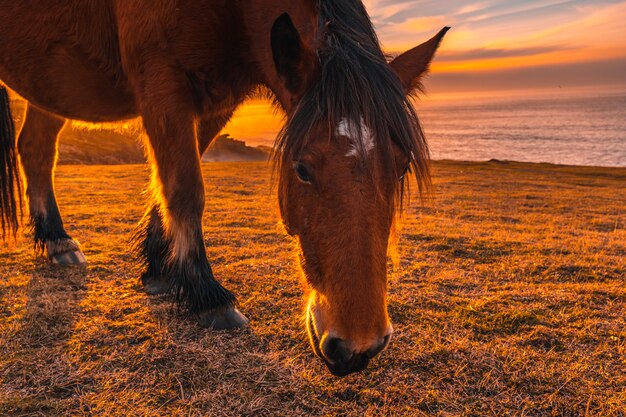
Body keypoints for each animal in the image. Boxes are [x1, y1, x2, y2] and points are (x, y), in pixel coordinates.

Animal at [1, 0, 448, 376]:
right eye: (301, 169)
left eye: (401, 167)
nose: (358, 348)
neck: (228, 12)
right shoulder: (162, 82)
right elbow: (184, 189)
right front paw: (206, 295)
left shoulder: (214, 102)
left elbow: (167, 184)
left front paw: (161, 269)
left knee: (37, 148)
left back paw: (57, 240)